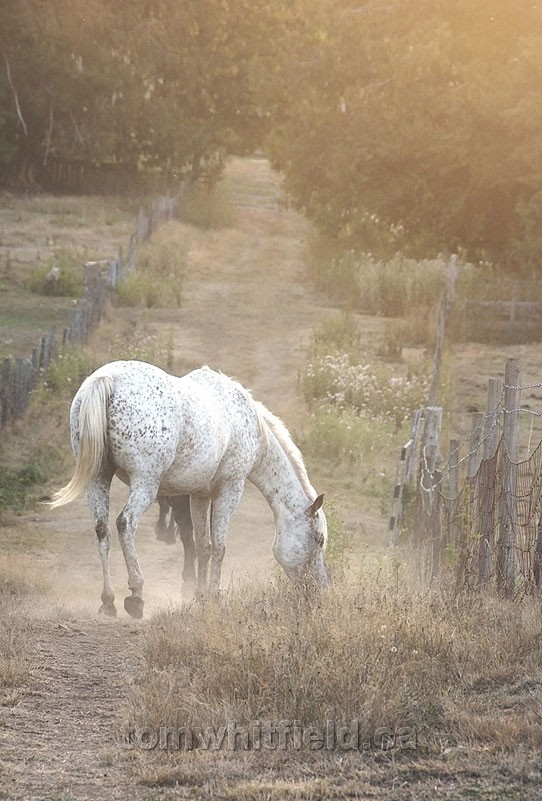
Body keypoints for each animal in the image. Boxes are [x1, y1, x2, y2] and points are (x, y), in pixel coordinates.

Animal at [51, 360, 330, 616]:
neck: (247, 423)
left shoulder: (200, 495)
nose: (321, 589)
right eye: (319, 539)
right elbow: (219, 547)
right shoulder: (229, 489)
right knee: (125, 524)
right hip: (145, 482)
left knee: (102, 531)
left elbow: (202, 545)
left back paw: (108, 601)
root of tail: (107, 379)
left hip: (98, 478)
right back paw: (136, 595)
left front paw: (200, 595)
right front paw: (215, 596)